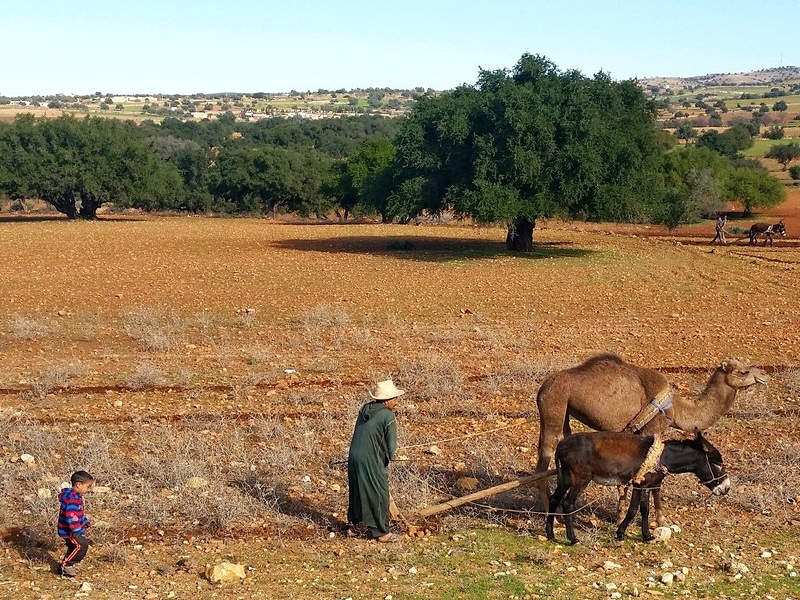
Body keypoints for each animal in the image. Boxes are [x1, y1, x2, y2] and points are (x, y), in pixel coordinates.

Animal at [536, 352, 764, 524]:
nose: (763, 375)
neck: (677, 409)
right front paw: (659, 520)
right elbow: (653, 481)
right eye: (743, 371)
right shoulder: (653, 430)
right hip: (554, 405)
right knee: (544, 457)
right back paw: (549, 514)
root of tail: (542, 388)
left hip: (564, 412)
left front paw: (620, 515)